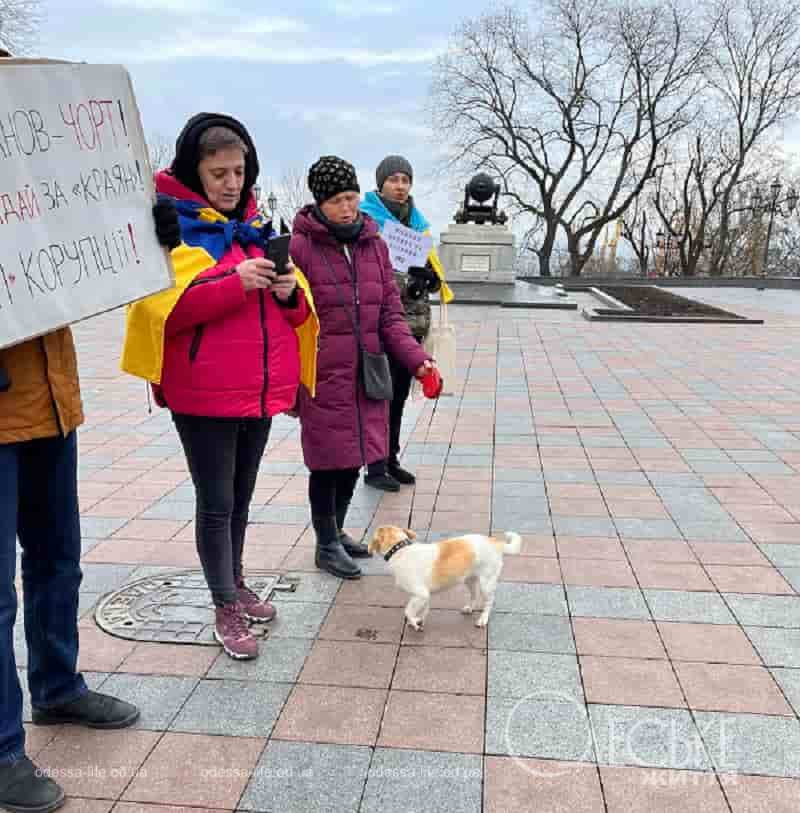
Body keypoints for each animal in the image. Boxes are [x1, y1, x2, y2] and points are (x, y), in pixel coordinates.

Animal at [370, 524, 524, 632]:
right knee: (474, 595)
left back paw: (483, 620)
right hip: (469, 579)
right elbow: (421, 610)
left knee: (489, 601)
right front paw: (419, 620)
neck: (400, 549)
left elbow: (407, 611)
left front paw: (414, 623)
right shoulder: (423, 596)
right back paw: (469, 608)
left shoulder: (421, 594)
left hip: (486, 583)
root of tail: (494, 542)